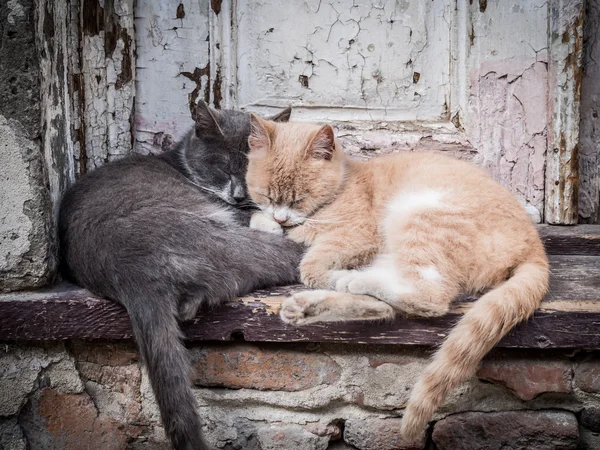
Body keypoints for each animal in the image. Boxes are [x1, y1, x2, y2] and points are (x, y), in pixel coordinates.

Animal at [244, 116, 548, 440]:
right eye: (266, 194)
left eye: (300, 198)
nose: (281, 217)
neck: (344, 184)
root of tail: (536, 247)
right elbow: (259, 220)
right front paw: (269, 224)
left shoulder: (357, 235)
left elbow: (311, 266)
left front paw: (324, 264)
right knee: (387, 305)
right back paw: (306, 306)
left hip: (419, 217)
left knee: (429, 298)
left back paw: (352, 280)